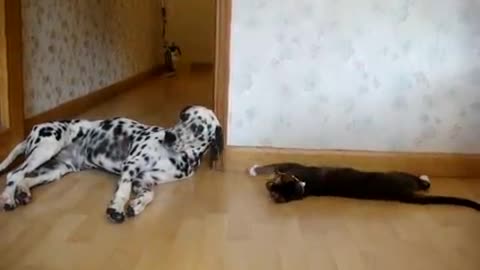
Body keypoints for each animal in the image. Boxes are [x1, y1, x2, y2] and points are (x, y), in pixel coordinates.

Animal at [0, 104, 224, 223]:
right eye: (182, 116)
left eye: (197, 128)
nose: (169, 135)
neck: (177, 157)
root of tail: (33, 129)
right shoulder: (131, 166)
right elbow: (123, 191)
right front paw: (117, 207)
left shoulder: (145, 180)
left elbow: (149, 196)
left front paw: (136, 206)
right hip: (46, 148)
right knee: (13, 174)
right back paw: (8, 198)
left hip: (54, 170)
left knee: (25, 179)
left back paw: (22, 193)